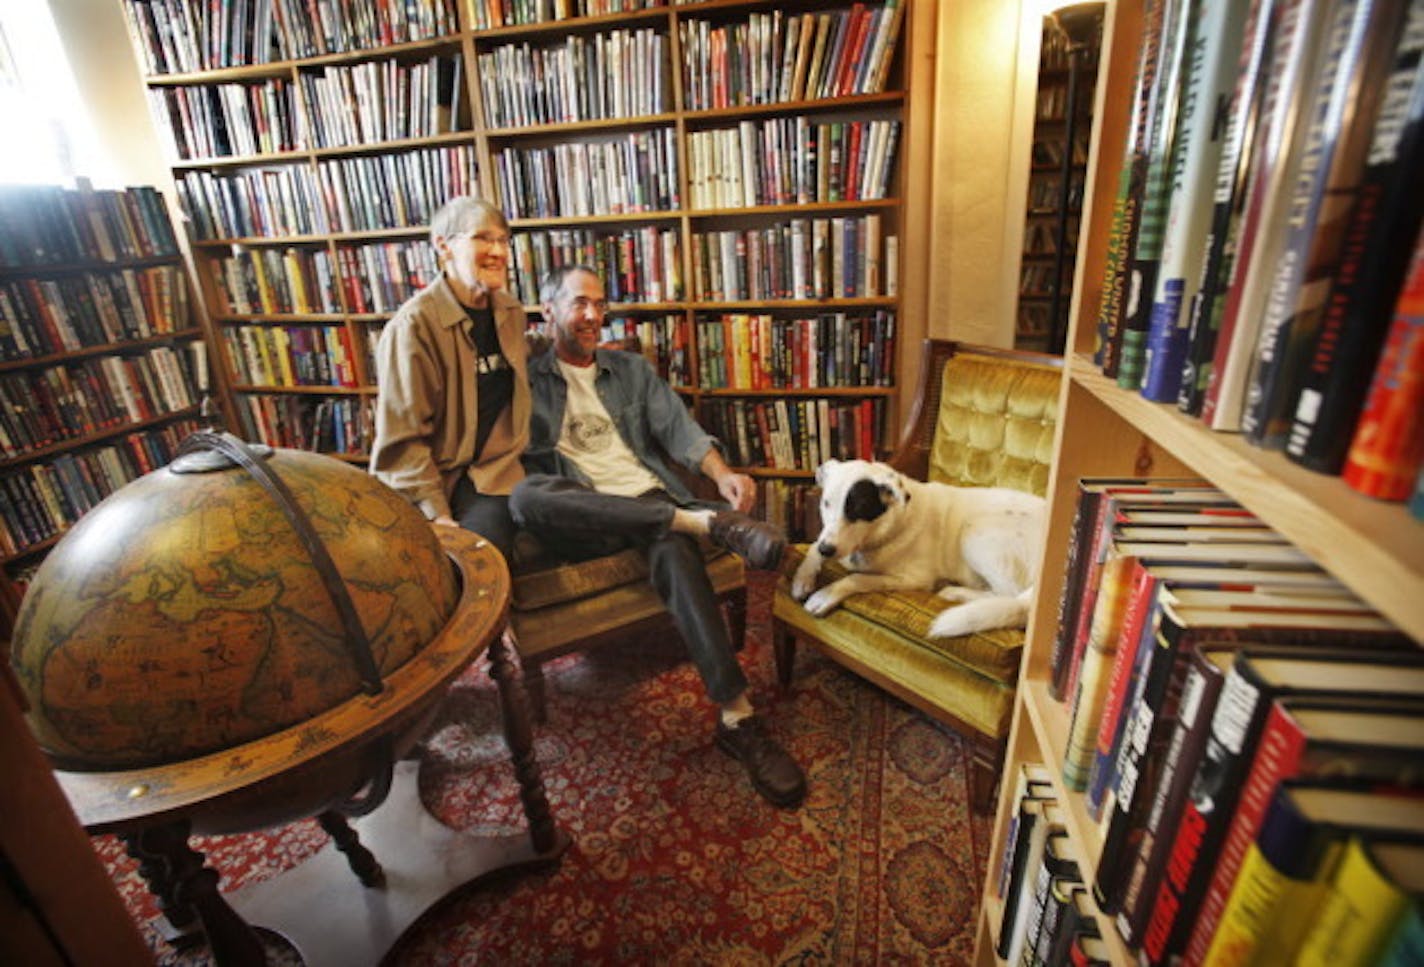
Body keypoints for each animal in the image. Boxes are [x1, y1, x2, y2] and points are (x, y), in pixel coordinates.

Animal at [791, 458, 1048, 638]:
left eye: (859, 508)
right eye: (826, 503)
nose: (827, 550)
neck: (887, 529)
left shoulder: (914, 579)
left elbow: (858, 578)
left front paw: (825, 595)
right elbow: (812, 546)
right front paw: (802, 578)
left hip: (975, 532)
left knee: (1009, 595)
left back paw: (955, 592)